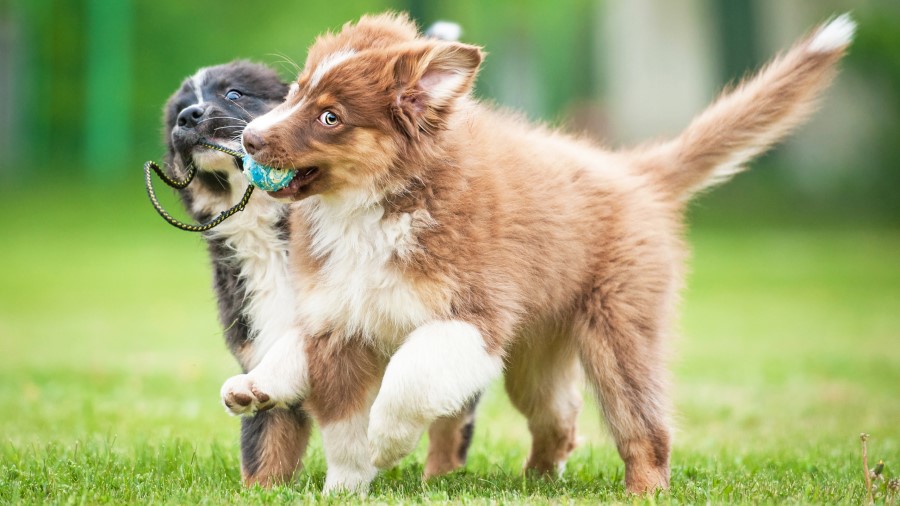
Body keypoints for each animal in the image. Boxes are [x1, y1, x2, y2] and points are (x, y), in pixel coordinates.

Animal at [223, 12, 852, 494]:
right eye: (296, 91)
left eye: (330, 116)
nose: (249, 137)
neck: (376, 205)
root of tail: (634, 171)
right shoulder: (340, 320)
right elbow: (340, 418)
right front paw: (346, 484)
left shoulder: (472, 316)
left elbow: (407, 379)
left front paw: (385, 442)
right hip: (536, 356)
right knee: (560, 418)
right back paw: (536, 480)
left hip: (619, 332)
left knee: (643, 426)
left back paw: (643, 489)